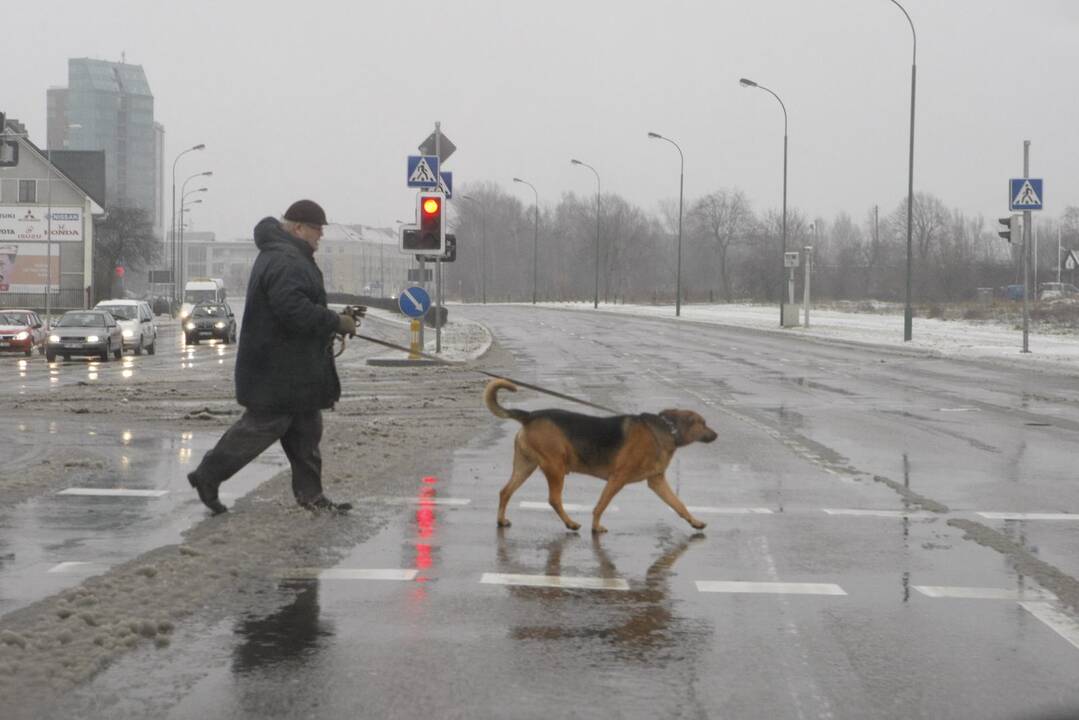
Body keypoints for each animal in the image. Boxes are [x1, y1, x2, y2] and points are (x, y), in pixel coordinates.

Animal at [487, 379, 720, 533]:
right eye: (703, 423)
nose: (716, 435)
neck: (668, 430)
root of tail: (530, 416)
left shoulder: (657, 482)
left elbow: (679, 504)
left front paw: (695, 522)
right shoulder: (618, 479)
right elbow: (601, 505)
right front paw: (596, 527)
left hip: (525, 466)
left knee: (505, 491)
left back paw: (501, 520)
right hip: (555, 468)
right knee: (554, 499)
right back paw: (570, 523)